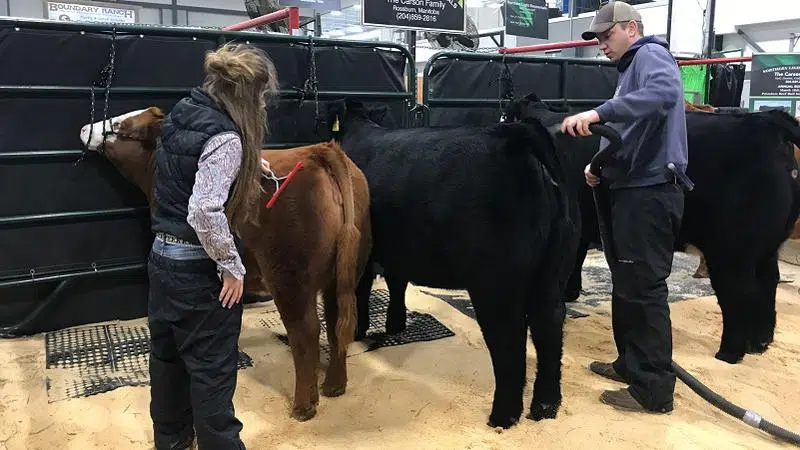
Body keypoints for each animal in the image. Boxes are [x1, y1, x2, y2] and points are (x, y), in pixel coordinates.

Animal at [78, 107, 373, 422]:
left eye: (121, 127)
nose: (84, 129)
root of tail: (317, 151)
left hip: (290, 278)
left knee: (306, 332)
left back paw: (303, 407)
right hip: (341, 275)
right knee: (337, 321)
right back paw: (334, 385)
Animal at [325, 98, 622, 428]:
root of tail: (518, 134)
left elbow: (361, 289)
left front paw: (358, 330)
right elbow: (396, 282)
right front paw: (394, 324)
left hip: (494, 282)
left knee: (509, 337)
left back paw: (503, 416)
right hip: (552, 271)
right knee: (549, 327)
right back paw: (546, 407)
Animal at [506, 92, 800, 365]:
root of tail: (768, 121)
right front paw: (572, 292)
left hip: (731, 250)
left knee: (739, 291)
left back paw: (729, 352)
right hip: (767, 246)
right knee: (768, 281)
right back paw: (760, 343)